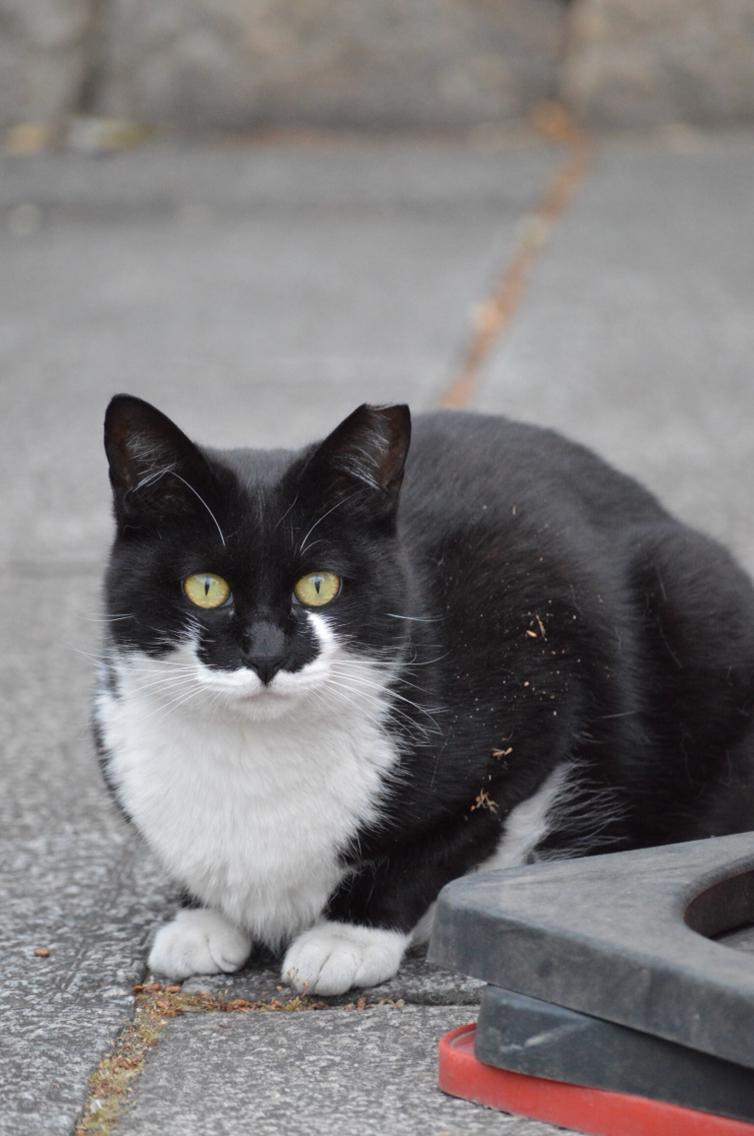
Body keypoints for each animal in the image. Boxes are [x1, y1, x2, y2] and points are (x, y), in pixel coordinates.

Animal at [92, 397, 754, 995]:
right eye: (205, 587)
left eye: (319, 585)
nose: (266, 654)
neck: (254, 755)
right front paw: (199, 919)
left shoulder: (543, 684)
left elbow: (443, 845)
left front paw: (347, 938)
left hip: (690, 592)